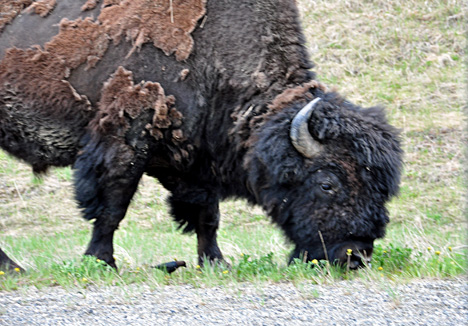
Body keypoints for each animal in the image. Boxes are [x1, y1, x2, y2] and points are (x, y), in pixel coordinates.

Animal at [0, 0, 402, 272]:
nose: (354, 255)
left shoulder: (195, 159)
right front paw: (102, 263)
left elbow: (207, 216)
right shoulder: (127, 139)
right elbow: (112, 206)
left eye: (382, 189)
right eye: (327, 184)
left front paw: (215, 263)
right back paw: (15, 269)